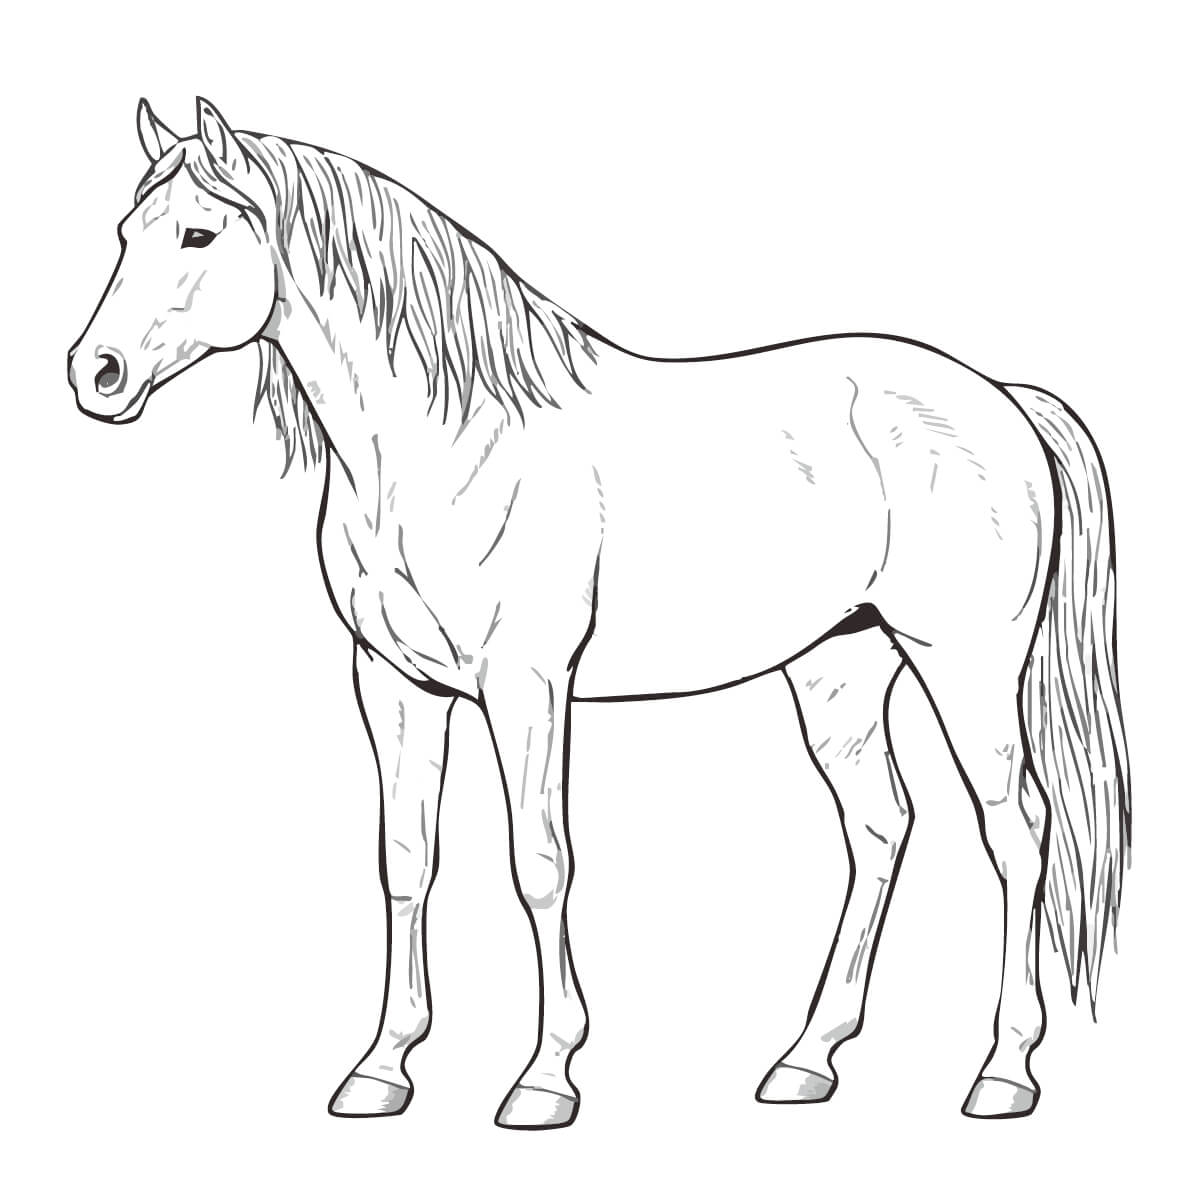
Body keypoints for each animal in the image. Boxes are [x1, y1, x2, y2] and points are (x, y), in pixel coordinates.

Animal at [68, 97, 1130, 1128]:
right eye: (124, 232)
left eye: (199, 233)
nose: (95, 374)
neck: (446, 443)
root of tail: (1001, 400)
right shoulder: (395, 683)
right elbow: (406, 859)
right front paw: (380, 1069)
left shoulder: (526, 683)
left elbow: (540, 862)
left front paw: (545, 1079)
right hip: (841, 666)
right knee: (880, 829)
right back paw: (806, 1060)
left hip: (967, 666)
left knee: (1017, 832)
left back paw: (1003, 1071)